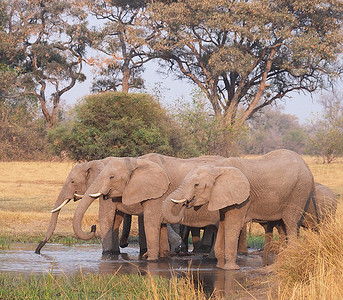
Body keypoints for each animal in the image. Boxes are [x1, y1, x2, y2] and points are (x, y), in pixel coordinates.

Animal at [72, 155, 226, 260]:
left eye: (112, 177)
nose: (92, 227)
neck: (136, 161)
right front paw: (162, 255)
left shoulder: (159, 192)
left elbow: (149, 221)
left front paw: (150, 259)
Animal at [163, 150, 316, 270]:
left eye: (196, 185)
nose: (186, 203)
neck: (218, 168)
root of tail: (307, 167)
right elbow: (223, 224)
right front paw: (220, 267)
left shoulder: (242, 199)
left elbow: (232, 225)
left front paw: (231, 269)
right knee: (285, 226)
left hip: (299, 191)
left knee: (291, 222)